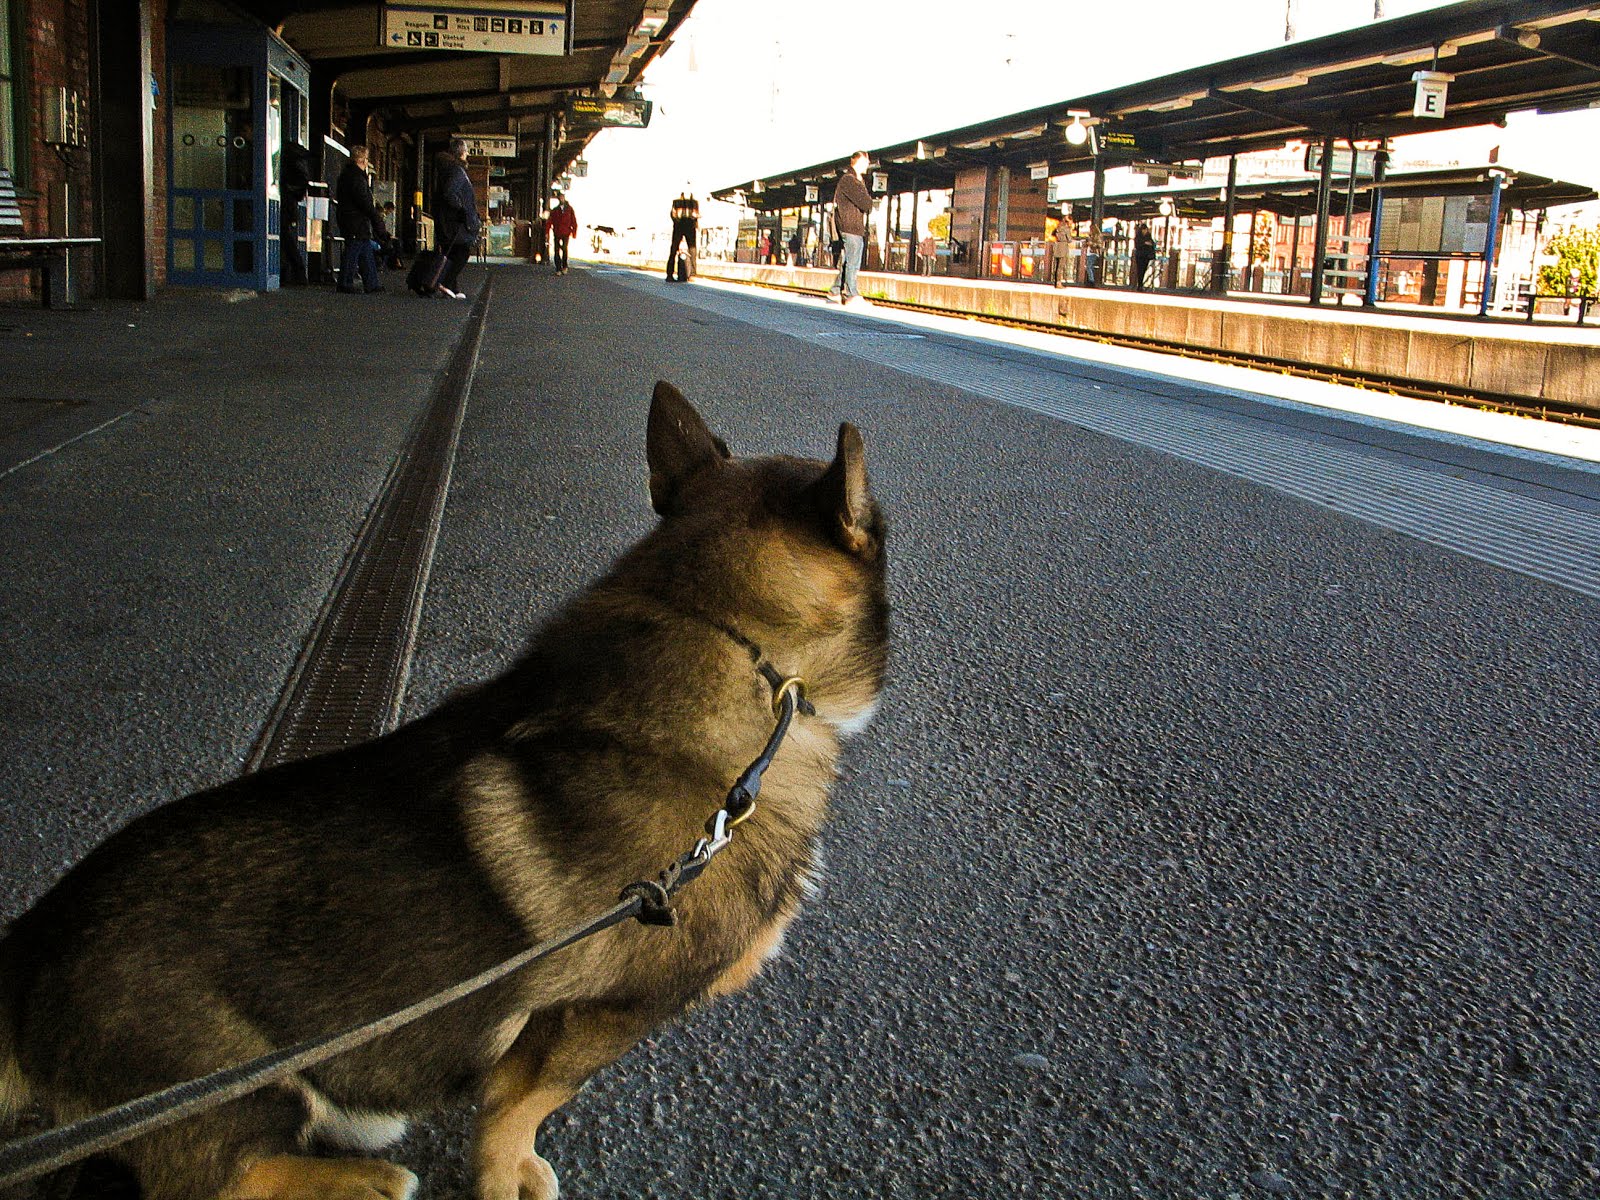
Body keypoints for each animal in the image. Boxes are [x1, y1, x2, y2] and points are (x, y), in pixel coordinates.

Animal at [0, 381, 888, 1200]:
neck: (732, 641)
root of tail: (28, 946)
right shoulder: (595, 1018)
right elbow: (522, 1106)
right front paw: (506, 1174)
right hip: (247, 1085)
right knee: (224, 1176)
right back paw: (362, 1182)